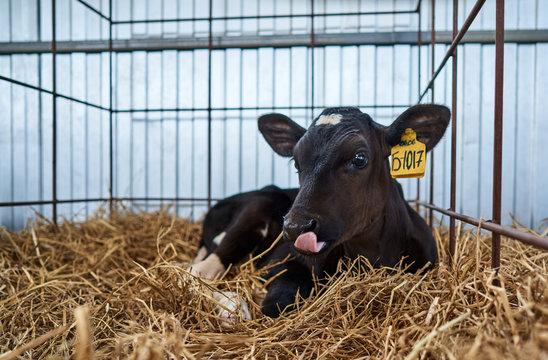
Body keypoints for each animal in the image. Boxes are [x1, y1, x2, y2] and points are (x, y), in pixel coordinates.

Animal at [193, 104, 450, 318]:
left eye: (359, 158)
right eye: (296, 162)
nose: (295, 226)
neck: (373, 253)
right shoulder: (282, 260)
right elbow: (279, 303)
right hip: (256, 208)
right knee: (198, 272)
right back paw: (231, 308)